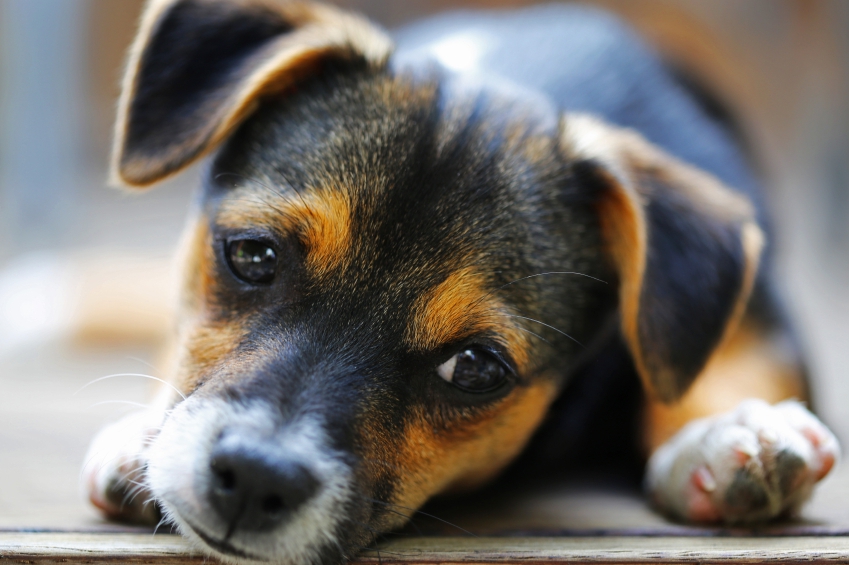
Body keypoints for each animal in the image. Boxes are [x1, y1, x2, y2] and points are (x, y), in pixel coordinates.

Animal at [83, 1, 840, 560]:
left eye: (475, 367)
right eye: (254, 256)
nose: (255, 476)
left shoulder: (759, 314)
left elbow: (722, 369)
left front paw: (724, 435)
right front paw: (139, 438)